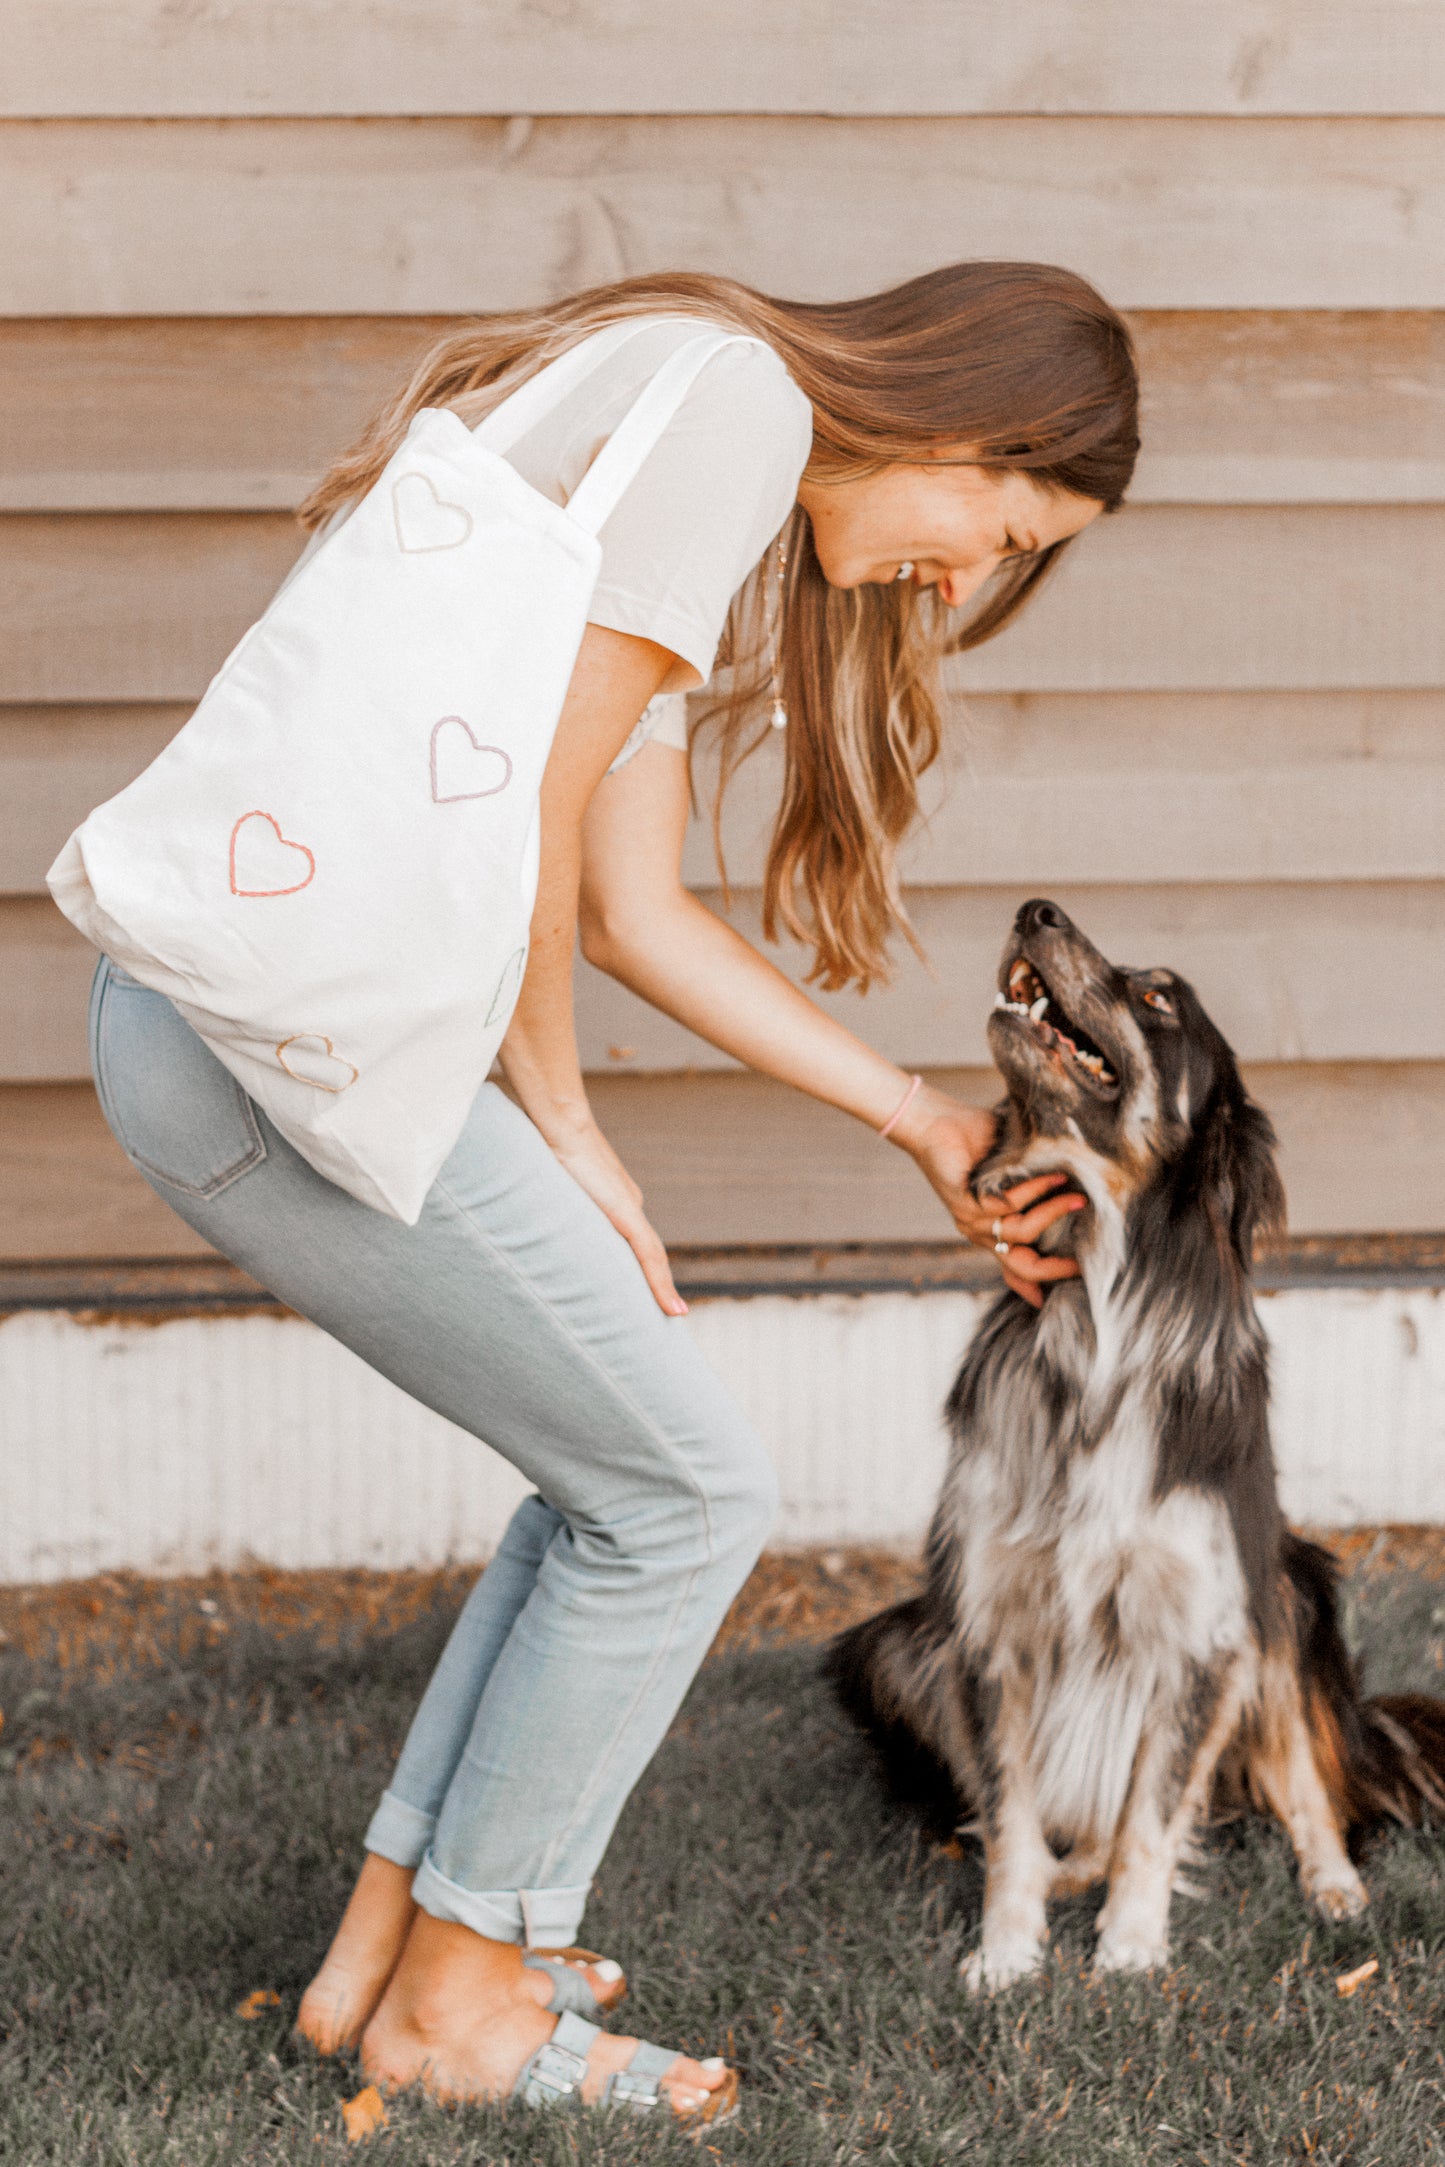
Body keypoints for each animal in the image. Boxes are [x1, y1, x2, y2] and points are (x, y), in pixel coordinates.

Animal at [823, 892, 1445, 1984]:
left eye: (1155, 997)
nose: (1034, 907)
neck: (1096, 1303)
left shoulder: (1203, 1631)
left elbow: (1156, 1811)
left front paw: (1128, 1947)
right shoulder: (989, 1624)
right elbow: (1013, 1810)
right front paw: (1008, 1949)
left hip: (1285, 1594)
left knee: (1297, 1779)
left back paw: (1332, 1886)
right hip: (895, 1645)